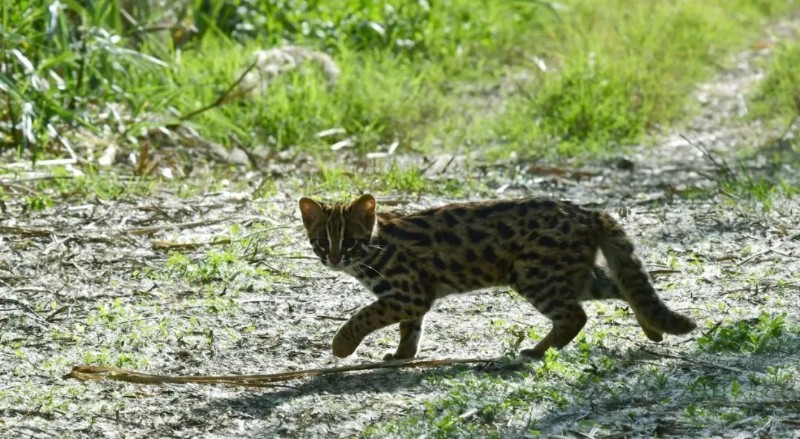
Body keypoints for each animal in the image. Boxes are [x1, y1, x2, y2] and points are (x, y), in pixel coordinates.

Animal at [296, 194, 696, 360]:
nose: (333, 258)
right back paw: (653, 329)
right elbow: (410, 329)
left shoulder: (407, 292)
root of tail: (588, 212)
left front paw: (341, 346)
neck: (376, 242)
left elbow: (364, 316)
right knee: (624, 287)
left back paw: (537, 351)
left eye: (349, 241)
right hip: (570, 274)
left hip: (535, 274)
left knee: (576, 315)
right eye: (321, 242)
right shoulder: (412, 297)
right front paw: (401, 356)